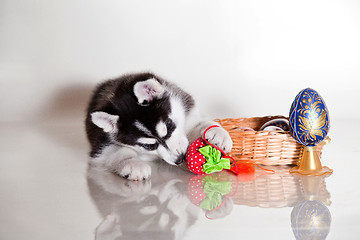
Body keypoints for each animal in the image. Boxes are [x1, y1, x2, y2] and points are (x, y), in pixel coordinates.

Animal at [86, 72, 233, 180]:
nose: (180, 159)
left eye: (169, 126)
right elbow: (118, 151)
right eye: (149, 146)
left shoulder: (188, 115)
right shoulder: (102, 144)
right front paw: (134, 164)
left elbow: (201, 123)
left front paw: (218, 134)